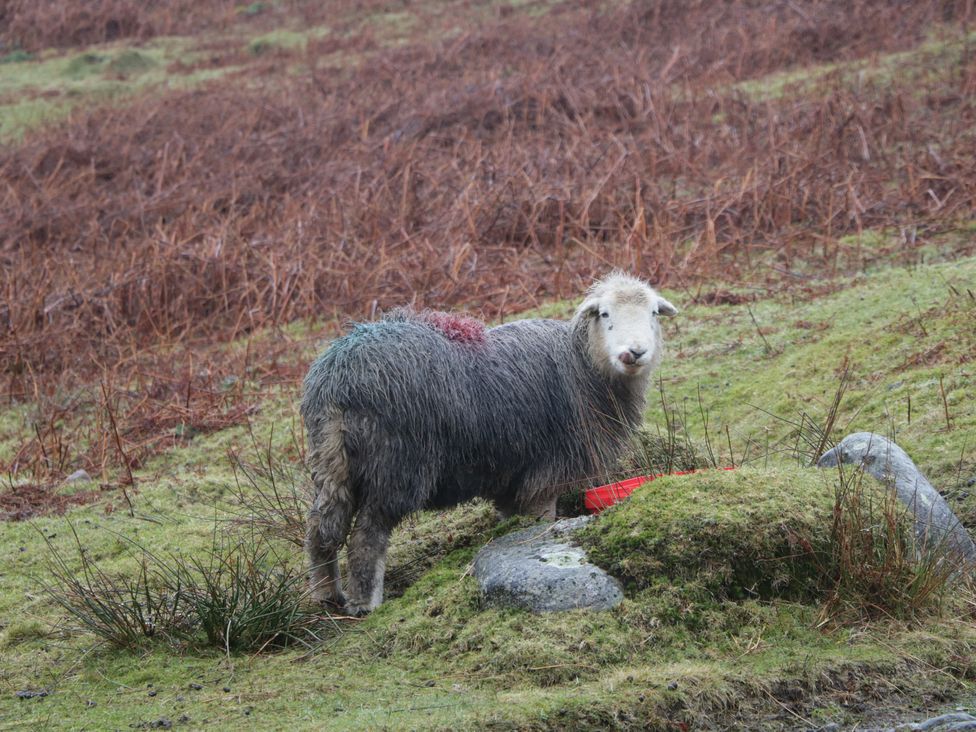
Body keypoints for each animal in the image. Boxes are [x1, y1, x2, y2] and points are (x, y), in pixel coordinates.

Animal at [302, 272, 676, 616]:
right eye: (604, 314)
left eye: (653, 313)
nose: (635, 352)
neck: (583, 365)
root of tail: (339, 377)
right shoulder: (548, 470)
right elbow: (541, 520)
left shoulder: (511, 476)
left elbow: (512, 518)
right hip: (397, 463)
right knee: (368, 536)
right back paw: (365, 604)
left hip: (330, 459)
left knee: (320, 527)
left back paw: (326, 595)